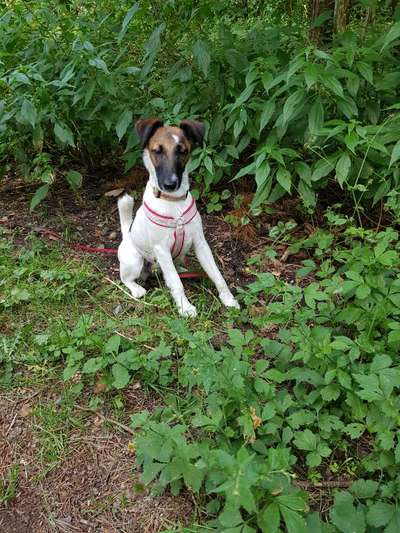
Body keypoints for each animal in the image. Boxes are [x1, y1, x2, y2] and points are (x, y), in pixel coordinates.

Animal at [117, 117, 239, 316]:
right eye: (157, 151)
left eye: (182, 151)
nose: (170, 184)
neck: (174, 204)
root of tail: (127, 233)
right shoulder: (162, 250)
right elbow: (175, 281)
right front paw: (185, 307)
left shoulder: (201, 243)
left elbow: (216, 274)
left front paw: (228, 299)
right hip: (135, 260)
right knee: (126, 278)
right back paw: (137, 289)